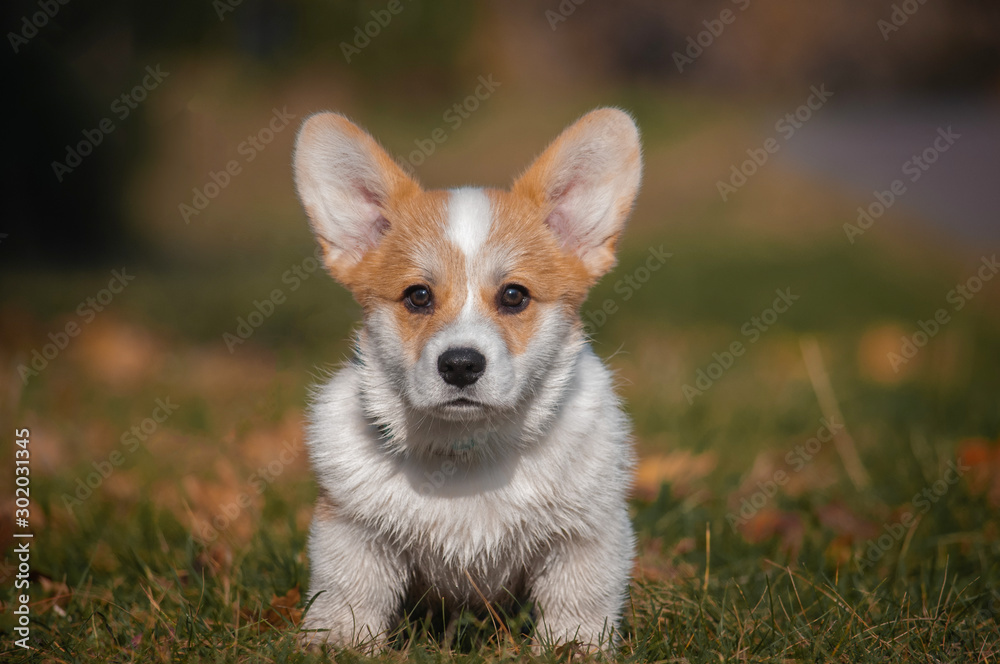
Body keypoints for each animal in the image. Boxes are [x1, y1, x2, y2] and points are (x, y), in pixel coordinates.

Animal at [292, 107, 644, 648]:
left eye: (514, 296)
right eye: (418, 296)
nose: (460, 364)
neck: (467, 451)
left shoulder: (586, 535)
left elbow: (578, 605)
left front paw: (573, 649)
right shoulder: (354, 533)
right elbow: (350, 597)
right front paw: (338, 645)